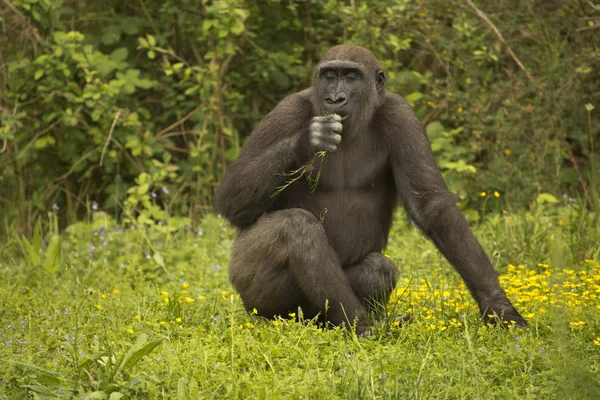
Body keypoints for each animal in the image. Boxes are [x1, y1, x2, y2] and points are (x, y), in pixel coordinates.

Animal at [214, 43, 524, 332]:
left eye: (351, 77)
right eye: (330, 76)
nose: (335, 98)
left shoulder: (401, 114)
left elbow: (430, 206)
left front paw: (498, 306)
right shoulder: (287, 111)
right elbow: (231, 196)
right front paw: (306, 140)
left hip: (312, 314)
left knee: (376, 270)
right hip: (251, 293)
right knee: (295, 227)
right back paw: (359, 325)